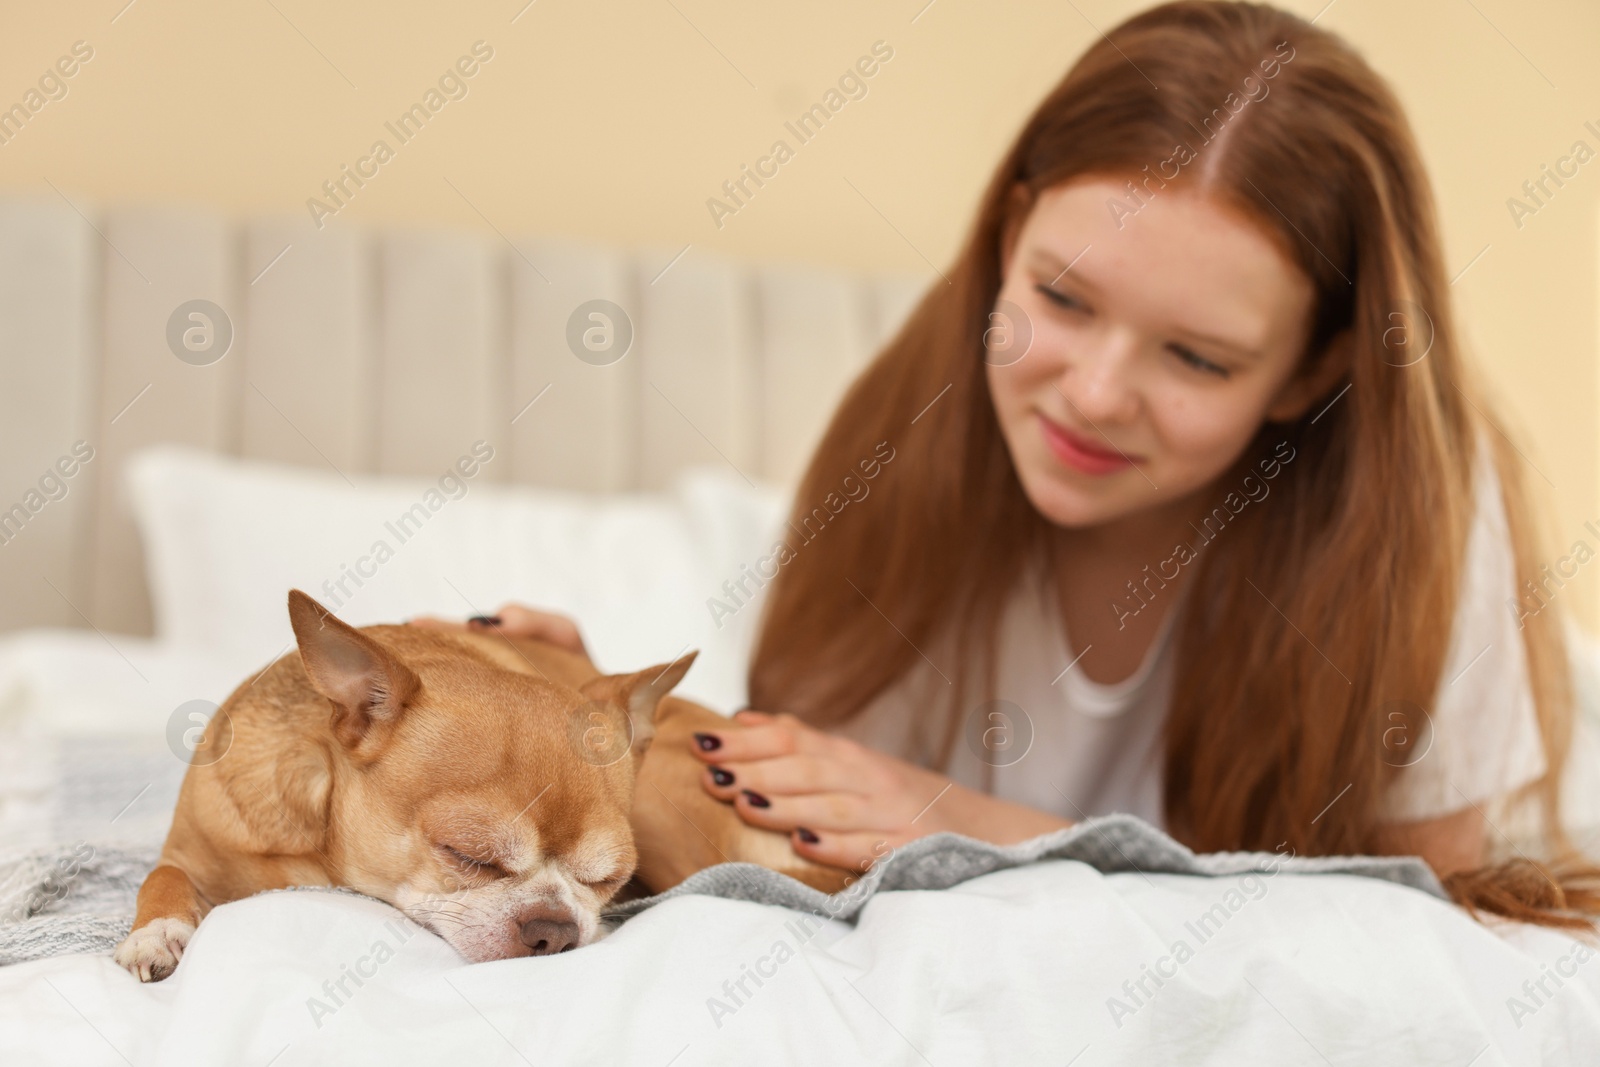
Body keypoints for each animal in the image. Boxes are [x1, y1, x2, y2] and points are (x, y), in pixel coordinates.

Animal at [118, 591, 844, 985]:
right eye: (468, 855)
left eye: (608, 879)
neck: (319, 850)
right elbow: (163, 878)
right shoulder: (189, 852)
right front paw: (158, 935)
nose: (554, 927)